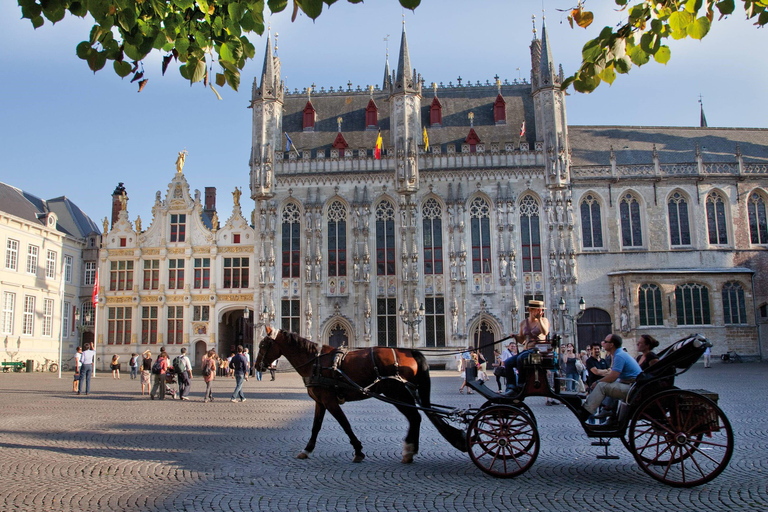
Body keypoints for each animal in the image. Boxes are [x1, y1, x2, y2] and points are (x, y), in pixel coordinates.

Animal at [255, 328, 464, 464]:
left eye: (264, 344)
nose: (257, 366)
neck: (315, 362)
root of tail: (409, 350)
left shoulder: (330, 401)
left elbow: (345, 424)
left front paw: (358, 450)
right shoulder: (320, 402)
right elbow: (316, 427)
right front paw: (307, 449)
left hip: (396, 392)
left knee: (415, 416)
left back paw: (409, 450)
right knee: (417, 417)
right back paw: (410, 451)